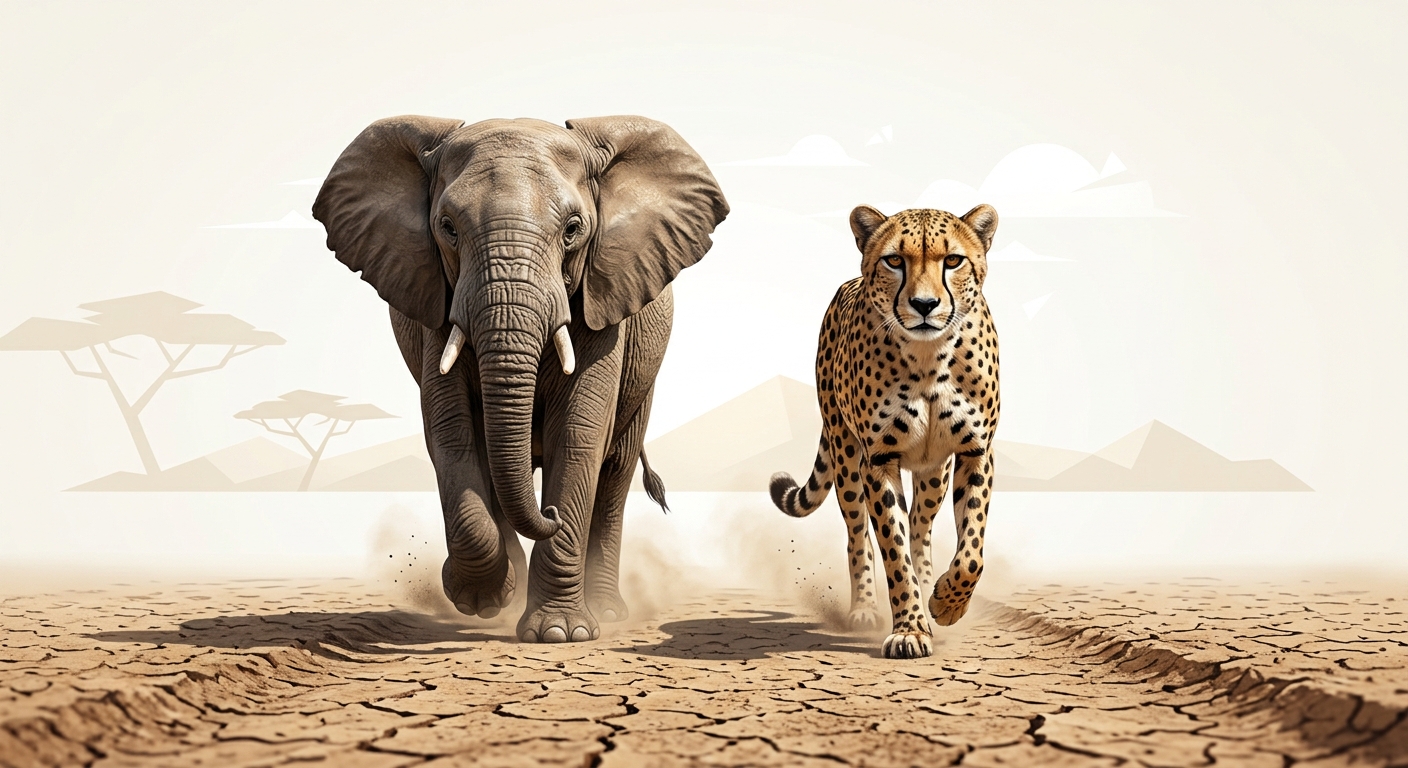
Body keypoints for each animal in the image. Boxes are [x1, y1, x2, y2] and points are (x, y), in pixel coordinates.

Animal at [312, 115, 728, 642]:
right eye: (447, 228)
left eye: (573, 229)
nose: (549, 514)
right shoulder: (437, 305)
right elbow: (451, 432)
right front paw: (483, 597)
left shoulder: (601, 304)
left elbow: (578, 433)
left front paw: (560, 634)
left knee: (614, 473)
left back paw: (608, 611)